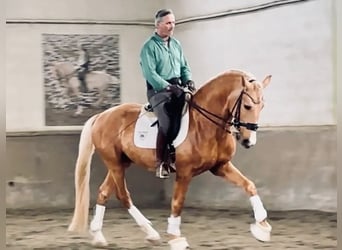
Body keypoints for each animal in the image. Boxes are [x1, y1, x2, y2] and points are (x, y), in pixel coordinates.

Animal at [67, 69, 272, 249]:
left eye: (262, 106)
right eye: (247, 106)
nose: (248, 141)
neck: (204, 125)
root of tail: (102, 116)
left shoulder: (221, 166)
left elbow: (249, 185)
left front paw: (262, 227)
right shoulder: (184, 172)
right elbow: (177, 203)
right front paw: (175, 238)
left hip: (122, 163)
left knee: (103, 192)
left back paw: (100, 237)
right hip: (115, 164)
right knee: (123, 196)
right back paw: (150, 233)